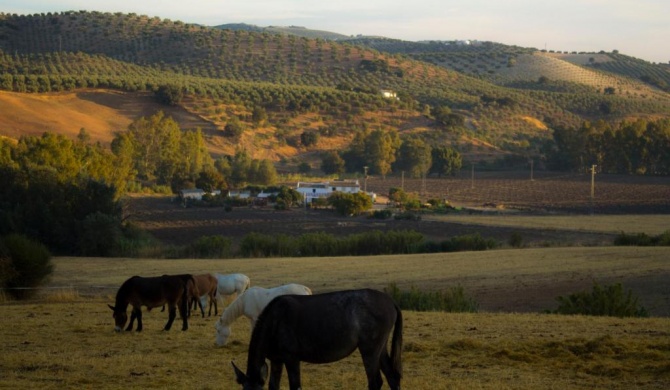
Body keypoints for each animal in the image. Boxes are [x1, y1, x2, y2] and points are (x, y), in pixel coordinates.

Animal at [234, 288, 404, 388]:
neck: (274, 321)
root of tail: (391, 301)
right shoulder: (276, 360)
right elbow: (273, 386)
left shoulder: (291, 358)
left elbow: (295, 386)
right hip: (380, 348)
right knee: (392, 377)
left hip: (369, 350)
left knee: (375, 382)